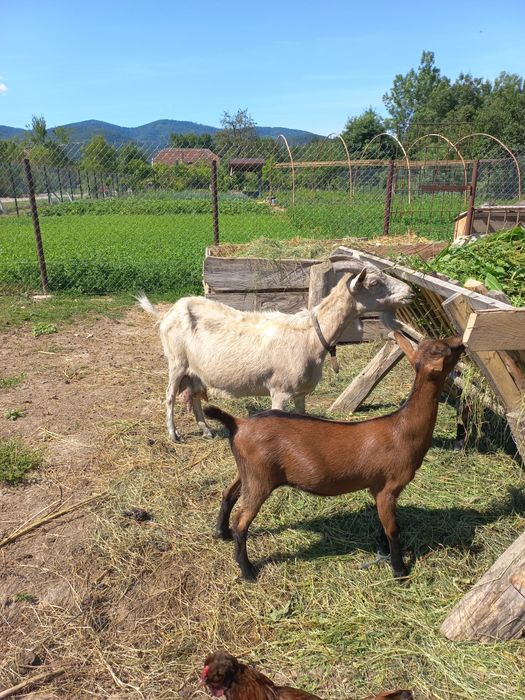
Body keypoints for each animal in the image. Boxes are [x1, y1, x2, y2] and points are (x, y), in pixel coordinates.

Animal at [137, 263, 412, 441]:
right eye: (374, 283)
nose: (410, 292)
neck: (311, 335)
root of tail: (168, 312)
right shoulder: (280, 391)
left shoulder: (301, 393)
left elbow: (303, 416)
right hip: (176, 361)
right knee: (170, 395)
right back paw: (174, 434)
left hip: (194, 370)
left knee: (193, 396)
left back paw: (206, 431)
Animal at [204, 332, 464, 580]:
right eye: (444, 350)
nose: (460, 341)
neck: (402, 429)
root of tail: (238, 423)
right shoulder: (389, 487)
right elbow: (393, 530)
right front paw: (399, 571)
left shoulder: (377, 488)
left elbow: (382, 525)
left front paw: (382, 550)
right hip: (260, 479)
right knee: (242, 521)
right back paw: (247, 571)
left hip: (247, 471)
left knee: (228, 494)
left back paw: (221, 533)